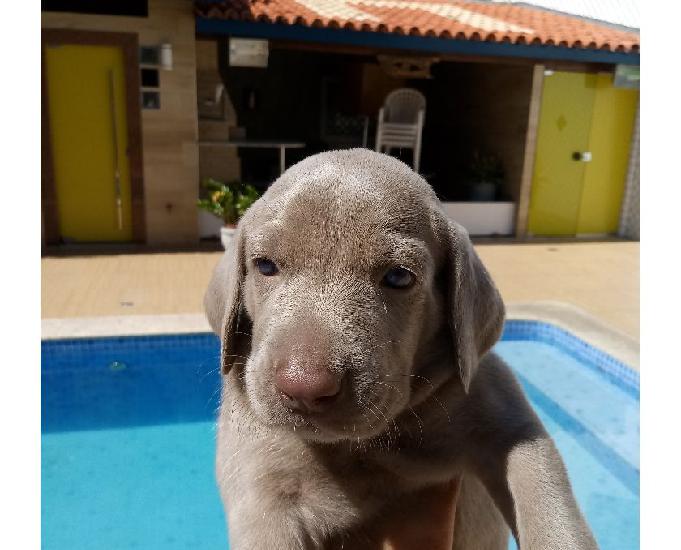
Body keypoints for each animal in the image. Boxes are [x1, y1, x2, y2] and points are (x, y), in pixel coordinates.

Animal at [205, 151, 596, 550]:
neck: (366, 445)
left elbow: (545, 497)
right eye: (265, 265)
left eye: (399, 276)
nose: (304, 387)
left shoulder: (505, 417)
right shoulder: (262, 480)